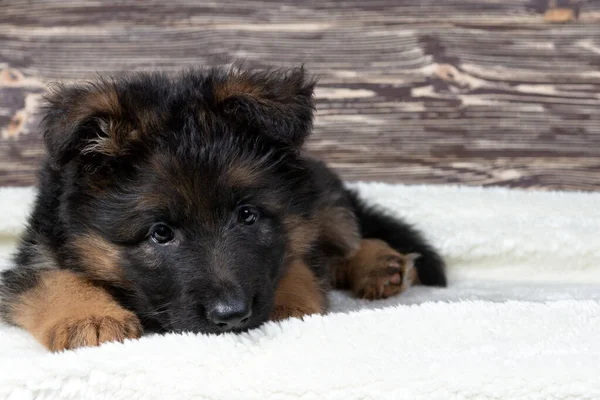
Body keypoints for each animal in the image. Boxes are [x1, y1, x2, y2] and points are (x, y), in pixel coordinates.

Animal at [0, 67, 440, 352]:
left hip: (322, 196)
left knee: (345, 237)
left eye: (247, 215)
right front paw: (87, 316)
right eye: (161, 233)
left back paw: (380, 263)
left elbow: (295, 261)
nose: (231, 317)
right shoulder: (36, 252)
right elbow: (49, 280)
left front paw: (290, 303)